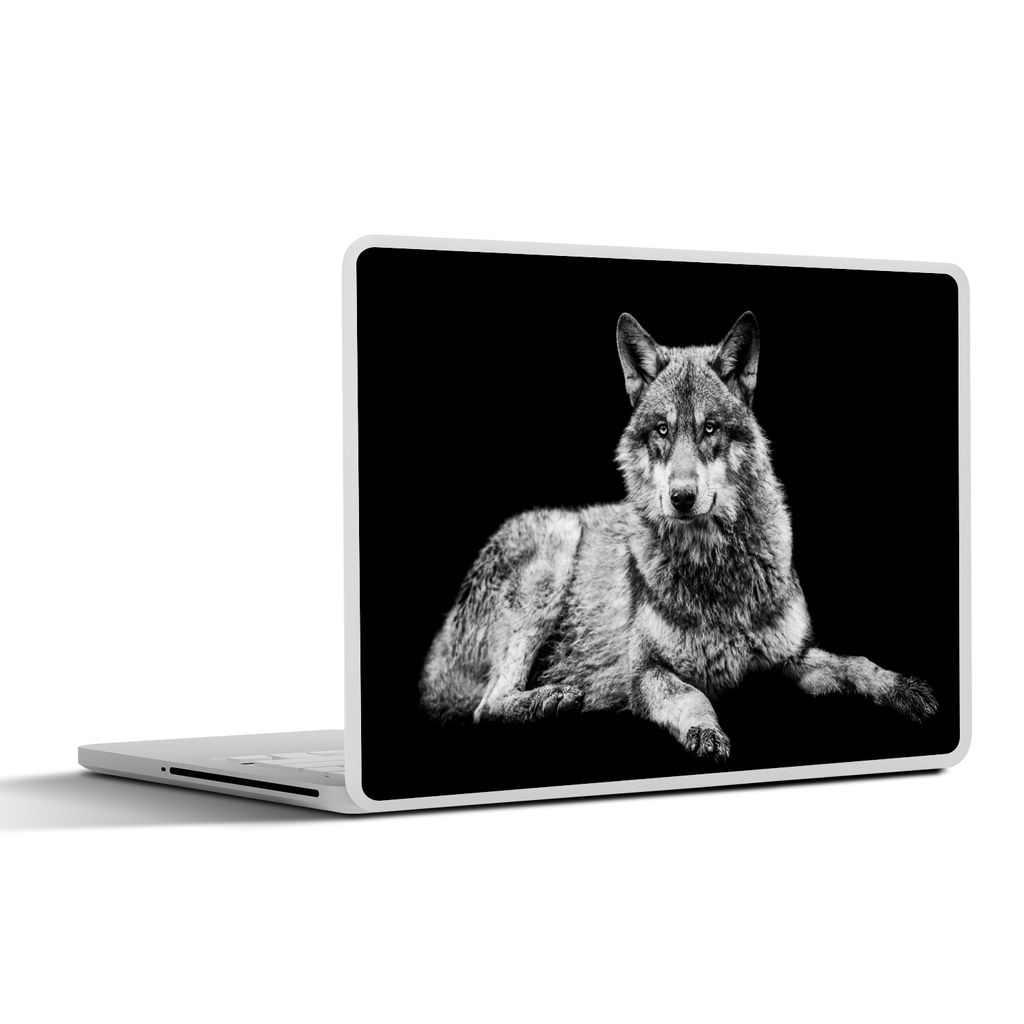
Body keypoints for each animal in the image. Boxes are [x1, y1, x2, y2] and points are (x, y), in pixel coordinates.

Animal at [419, 311, 937, 761]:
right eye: (662, 430)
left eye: (709, 428)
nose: (682, 497)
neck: (717, 571)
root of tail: (436, 654)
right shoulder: (645, 672)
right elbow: (692, 695)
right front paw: (706, 733)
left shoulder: (791, 657)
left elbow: (856, 662)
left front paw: (904, 689)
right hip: (556, 548)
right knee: (486, 706)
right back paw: (552, 699)